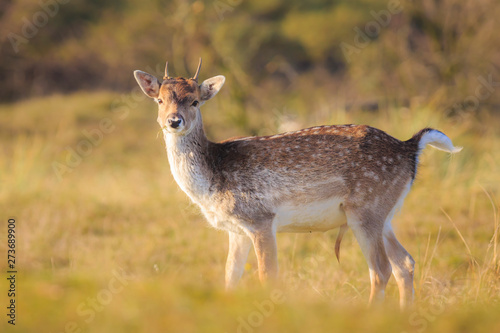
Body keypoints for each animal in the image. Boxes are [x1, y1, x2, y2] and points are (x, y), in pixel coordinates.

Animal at [133, 57, 460, 308]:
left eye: (195, 101)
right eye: (159, 100)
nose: (173, 121)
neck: (212, 181)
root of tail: (410, 147)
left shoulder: (261, 219)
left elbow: (268, 277)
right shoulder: (236, 230)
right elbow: (229, 279)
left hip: (366, 209)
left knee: (380, 269)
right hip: (387, 212)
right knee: (405, 263)